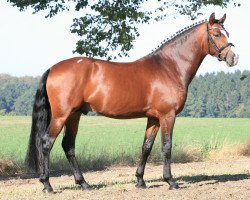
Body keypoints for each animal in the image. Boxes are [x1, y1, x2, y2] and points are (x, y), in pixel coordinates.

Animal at [25, 13, 238, 193]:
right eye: (217, 34)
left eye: (227, 33)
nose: (233, 58)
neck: (169, 67)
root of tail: (53, 68)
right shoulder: (167, 115)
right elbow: (167, 146)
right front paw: (171, 181)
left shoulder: (154, 118)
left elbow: (146, 147)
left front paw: (140, 181)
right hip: (61, 115)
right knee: (46, 143)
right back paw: (47, 185)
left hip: (74, 115)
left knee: (68, 145)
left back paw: (84, 183)